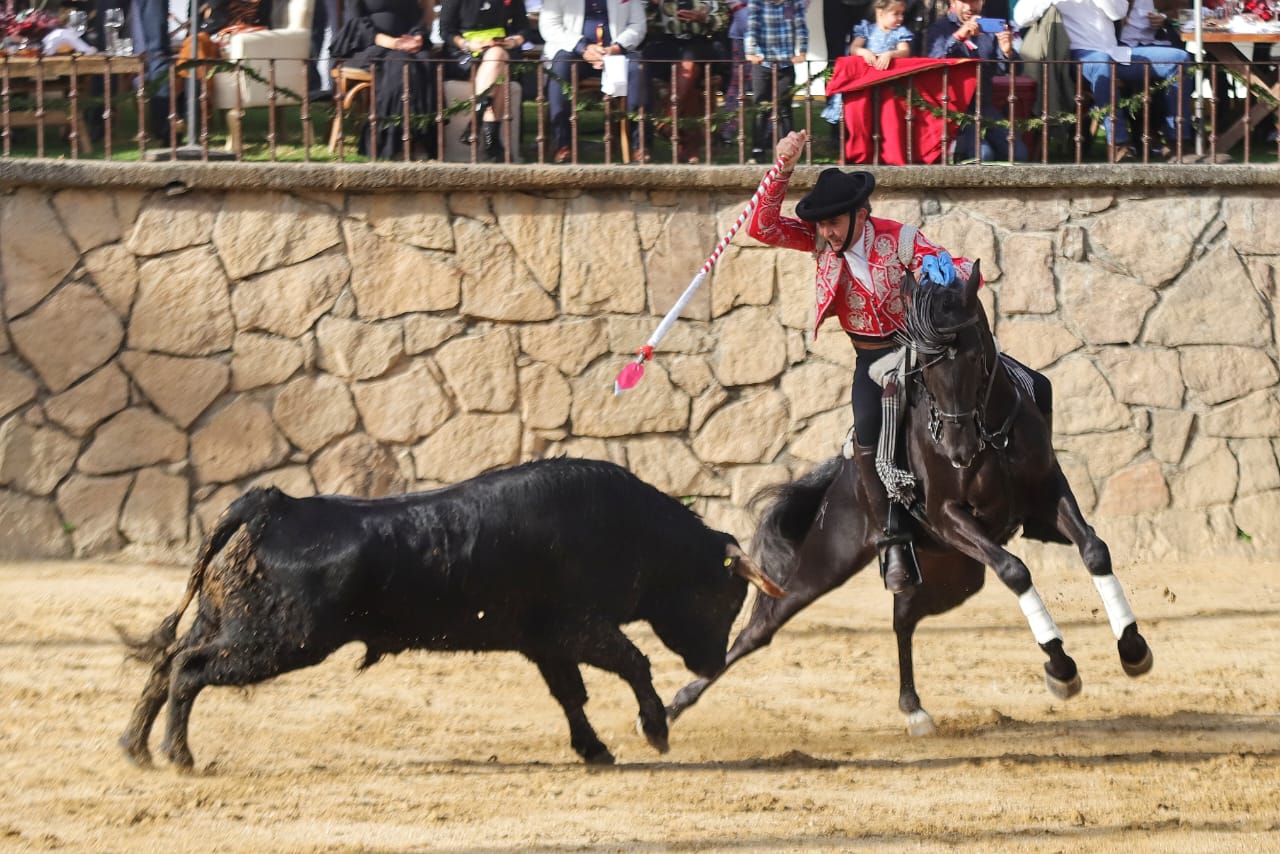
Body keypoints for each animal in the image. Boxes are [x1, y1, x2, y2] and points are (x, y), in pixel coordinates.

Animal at [122, 458, 778, 773]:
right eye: (726, 597)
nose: (713, 663)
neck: (630, 528)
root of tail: (272, 505)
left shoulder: (545, 641)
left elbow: (571, 694)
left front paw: (594, 749)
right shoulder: (579, 627)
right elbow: (634, 663)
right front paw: (655, 729)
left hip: (225, 623)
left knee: (165, 664)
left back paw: (137, 748)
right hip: (277, 641)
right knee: (187, 670)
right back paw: (180, 758)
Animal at [675, 262, 1157, 737]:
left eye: (976, 355)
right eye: (924, 365)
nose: (959, 452)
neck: (989, 436)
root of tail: (840, 477)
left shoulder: (1048, 492)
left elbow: (1094, 549)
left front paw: (1133, 649)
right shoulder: (949, 517)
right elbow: (1015, 570)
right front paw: (1061, 667)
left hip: (952, 575)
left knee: (902, 618)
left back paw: (912, 707)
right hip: (824, 565)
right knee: (760, 629)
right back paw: (679, 701)